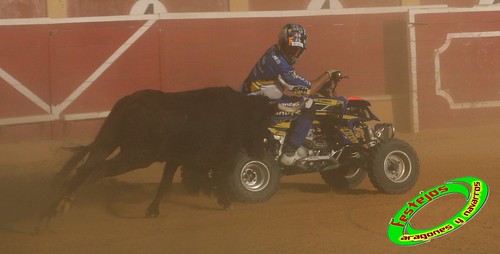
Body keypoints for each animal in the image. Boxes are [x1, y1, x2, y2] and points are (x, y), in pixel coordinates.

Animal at [41, 87, 278, 224]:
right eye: (262, 122)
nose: (263, 150)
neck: (237, 113)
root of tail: (131, 103)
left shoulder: (176, 158)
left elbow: (165, 183)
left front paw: (152, 210)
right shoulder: (214, 156)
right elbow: (216, 177)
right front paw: (225, 201)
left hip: (107, 142)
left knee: (86, 167)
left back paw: (53, 207)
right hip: (136, 156)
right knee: (98, 169)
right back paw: (65, 202)